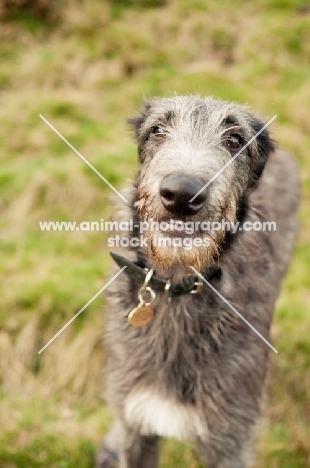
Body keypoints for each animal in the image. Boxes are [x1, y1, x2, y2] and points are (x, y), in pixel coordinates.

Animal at [95, 96, 300, 468]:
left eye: (235, 140)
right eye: (157, 130)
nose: (181, 194)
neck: (177, 285)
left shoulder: (229, 439)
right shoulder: (136, 423)